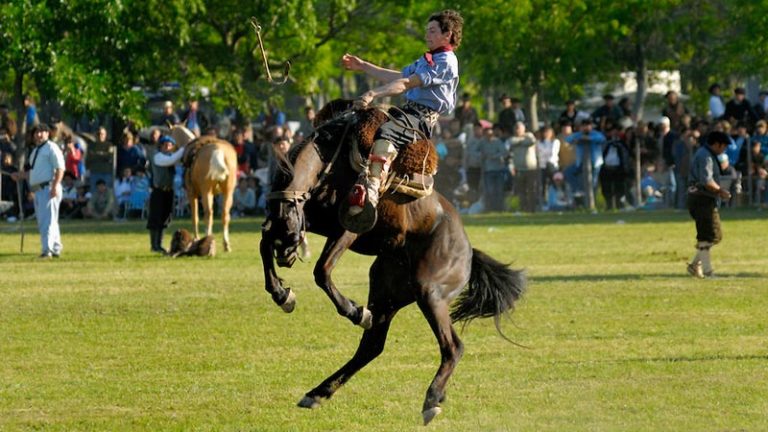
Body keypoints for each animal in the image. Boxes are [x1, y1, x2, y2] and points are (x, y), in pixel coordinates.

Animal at [260, 98, 524, 426]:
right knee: (371, 346)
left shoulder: (349, 226)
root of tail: (468, 250)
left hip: (430, 291)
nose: (286, 254)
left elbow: (322, 271)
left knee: (453, 347)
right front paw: (283, 294)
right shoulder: (315, 220)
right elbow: (264, 241)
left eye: (288, 214)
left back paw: (431, 400)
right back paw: (318, 392)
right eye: (273, 209)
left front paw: (353, 310)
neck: (332, 162)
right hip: (387, 290)